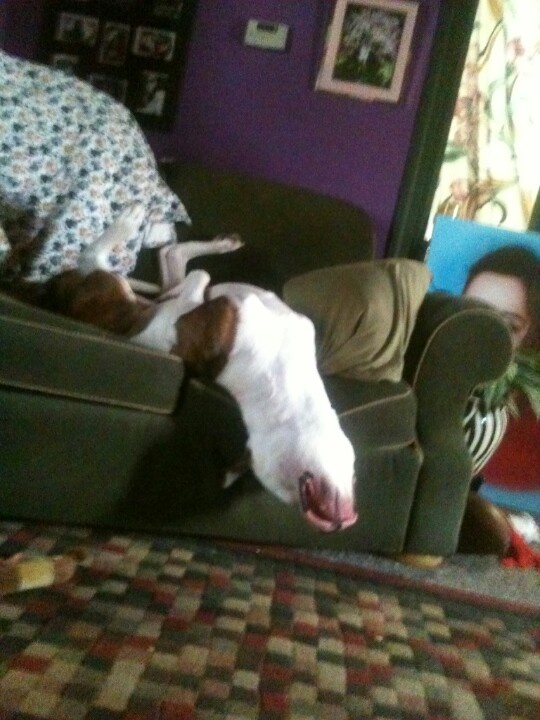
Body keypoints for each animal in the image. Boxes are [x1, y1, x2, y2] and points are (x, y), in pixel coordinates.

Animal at [8, 205, 358, 532]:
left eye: (273, 487)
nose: (341, 522)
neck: (280, 383)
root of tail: (51, 294)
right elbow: (192, 280)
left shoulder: (165, 323)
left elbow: (190, 283)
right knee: (157, 262)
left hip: (109, 290)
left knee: (101, 260)